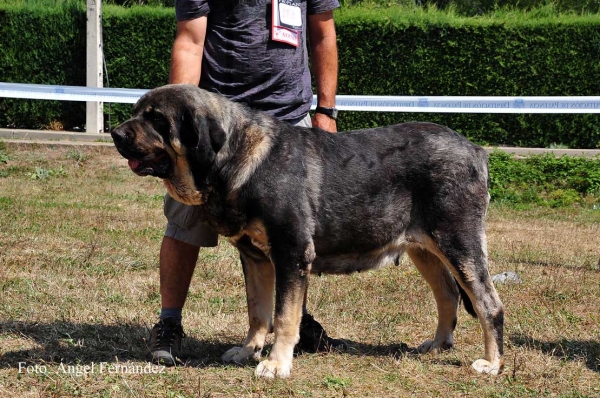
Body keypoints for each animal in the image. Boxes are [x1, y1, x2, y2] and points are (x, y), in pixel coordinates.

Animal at [110, 84, 504, 380]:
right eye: (138, 111)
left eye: (157, 119)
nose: (115, 132)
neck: (236, 157)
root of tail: (476, 151)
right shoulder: (254, 257)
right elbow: (258, 310)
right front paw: (249, 350)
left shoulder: (291, 253)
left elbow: (285, 315)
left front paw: (275, 363)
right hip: (424, 250)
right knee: (447, 296)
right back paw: (437, 346)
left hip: (459, 244)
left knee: (489, 304)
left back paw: (492, 363)